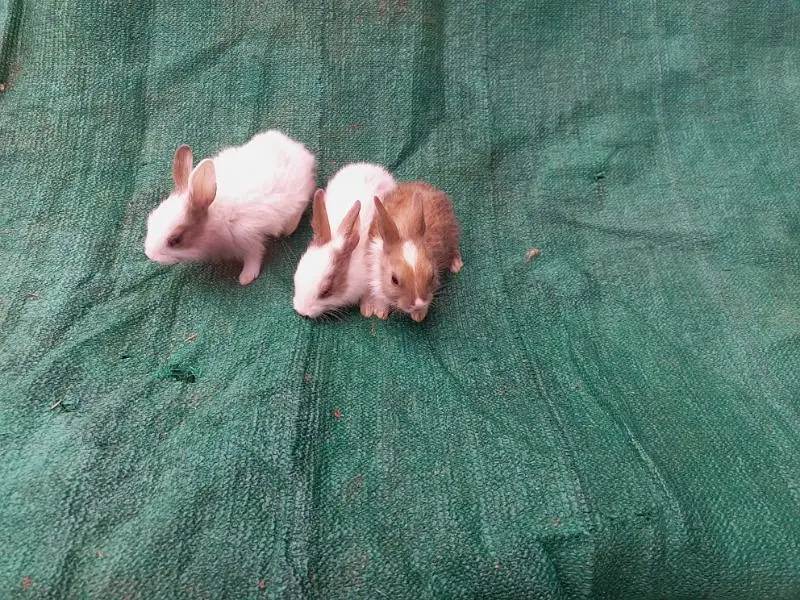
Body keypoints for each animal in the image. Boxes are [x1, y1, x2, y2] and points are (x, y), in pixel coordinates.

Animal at [144, 130, 316, 285]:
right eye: (150, 220)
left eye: (175, 240)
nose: (150, 255)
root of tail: (301, 151)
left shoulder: (248, 237)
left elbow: (255, 255)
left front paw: (246, 278)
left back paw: (289, 228)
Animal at [364, 181, 463, 322]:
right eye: (394, 280)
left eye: (432, 275)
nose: (419, 304)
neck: (405, 233)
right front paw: (380, 312)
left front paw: (418, 316)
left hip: (451, 231)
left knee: (454, 247)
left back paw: (456, 265)